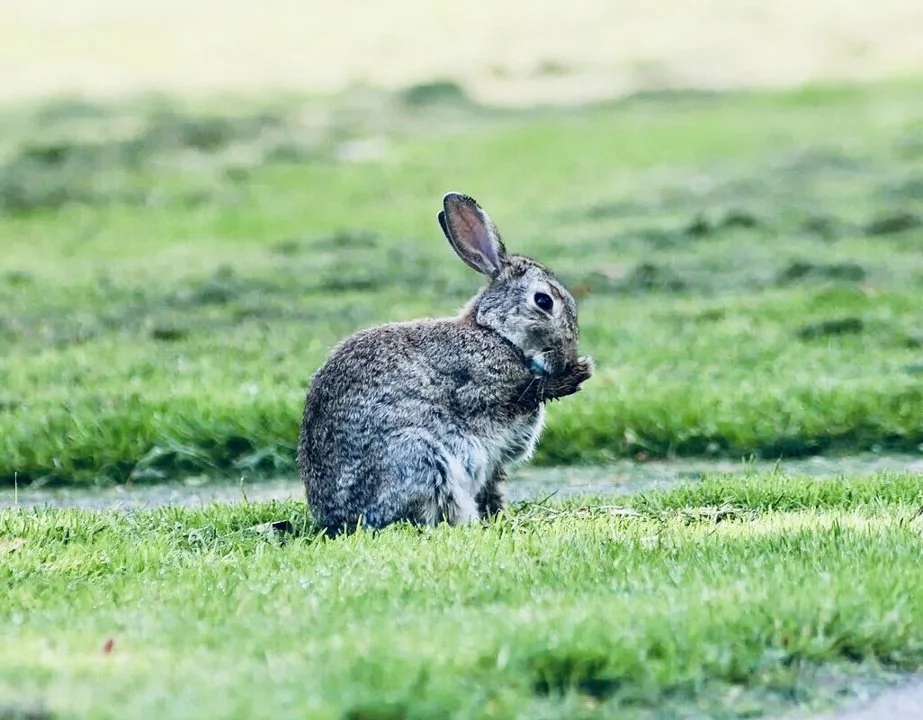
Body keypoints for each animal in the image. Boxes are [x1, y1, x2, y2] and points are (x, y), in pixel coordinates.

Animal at [298, 191, 593, 535]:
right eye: (543, 301)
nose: (566, 360)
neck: (495, 333)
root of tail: (334, 520)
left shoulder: (494, 466)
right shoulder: (479, 389)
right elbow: (523, 393)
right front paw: (575, 376)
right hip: (421, 456)